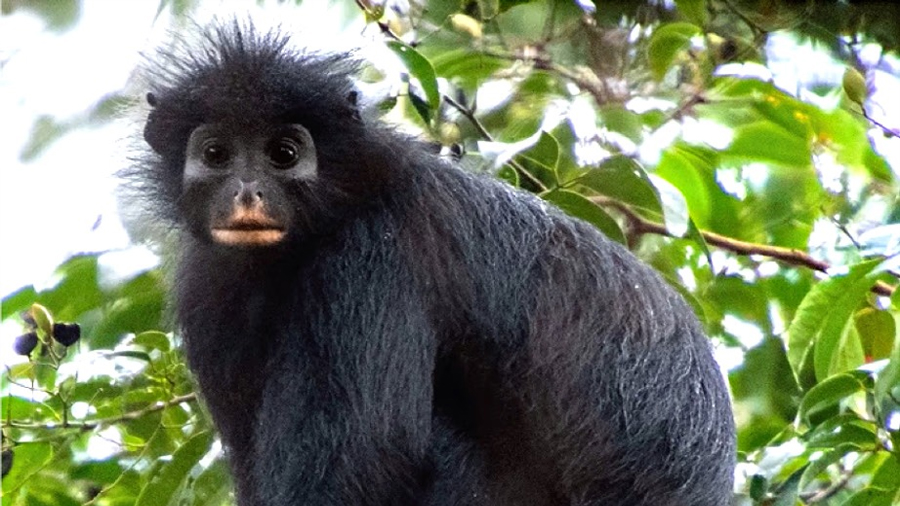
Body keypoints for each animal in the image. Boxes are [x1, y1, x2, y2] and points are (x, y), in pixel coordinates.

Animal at [125, 22, 735, 506]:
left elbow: (369, 456)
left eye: (283, 154)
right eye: (216, 154)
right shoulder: (208, 289)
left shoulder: (372, 255)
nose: (247, 193)